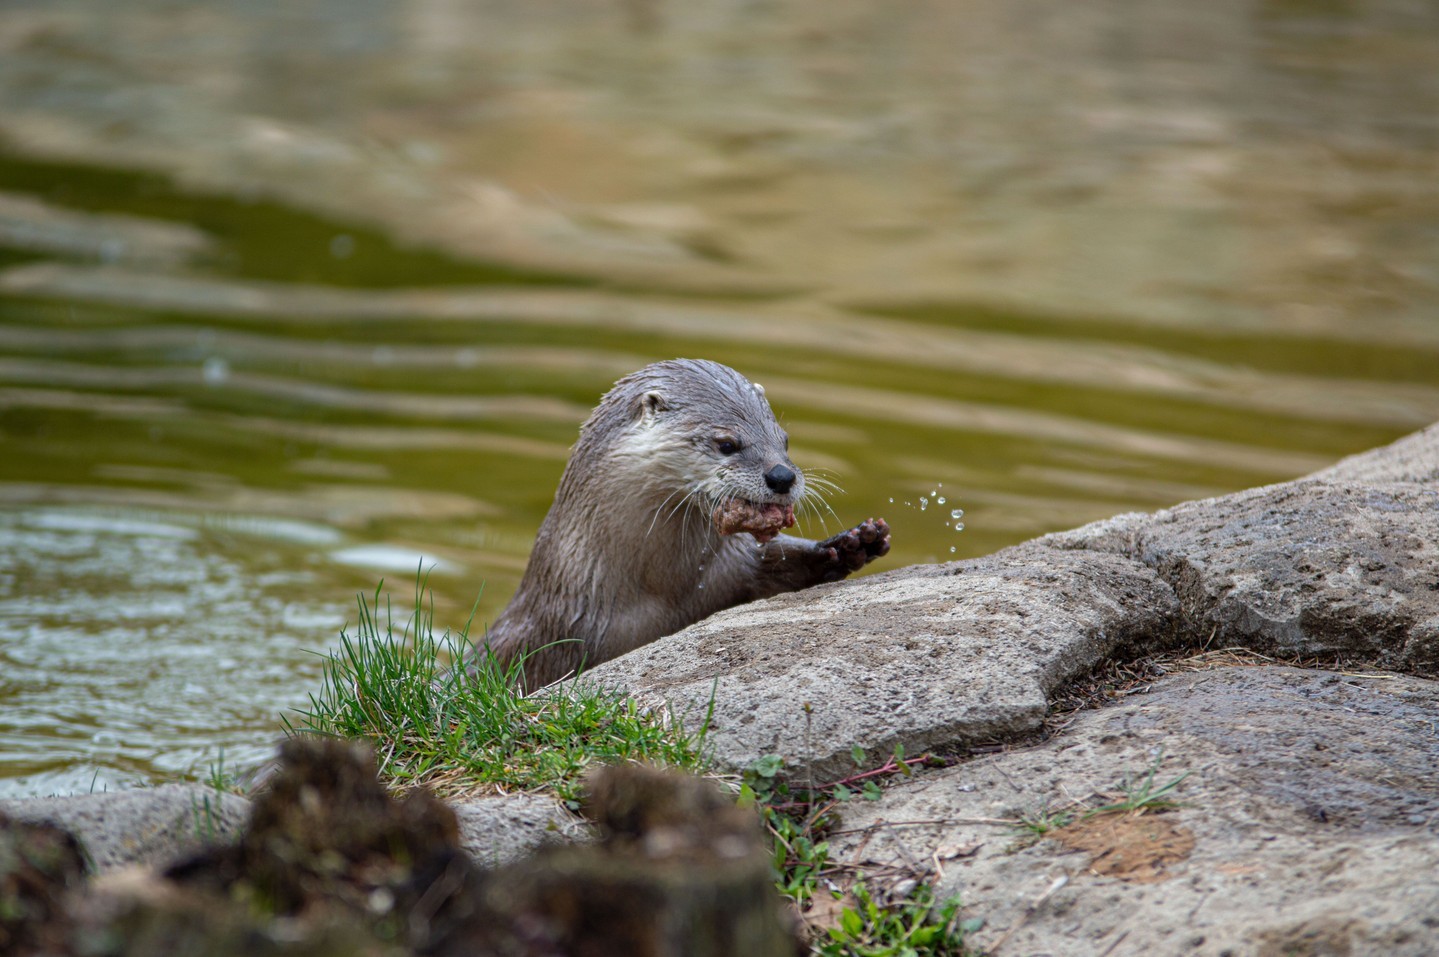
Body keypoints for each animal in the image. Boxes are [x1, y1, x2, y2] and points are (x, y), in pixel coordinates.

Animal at [466, 358, 886, 687]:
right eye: (727, 444)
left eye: (784, 440)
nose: (782, 476)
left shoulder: (728, 572)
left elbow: (774, 567)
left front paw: (852, 543)